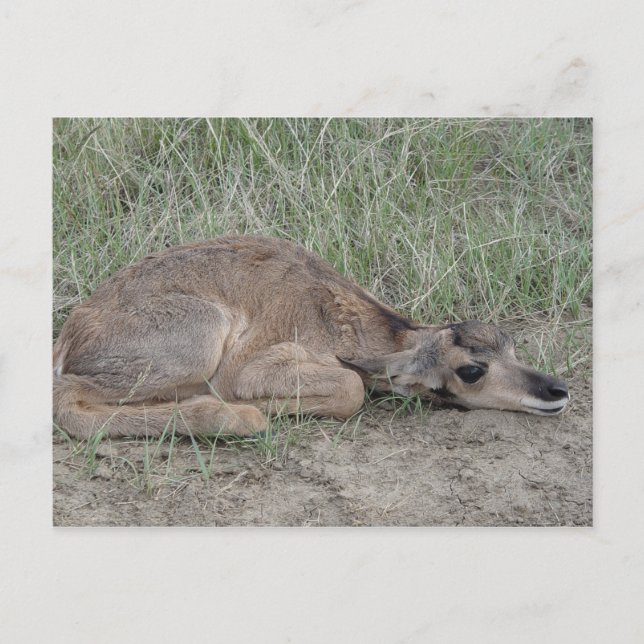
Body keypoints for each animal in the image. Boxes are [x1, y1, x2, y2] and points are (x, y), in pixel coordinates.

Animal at [53, 236, 570, 439]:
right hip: (199, 338)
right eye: (472, 370)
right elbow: (352, 386)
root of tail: (73, 331)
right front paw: (256, 408)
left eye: (511, 343)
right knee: (66, 399)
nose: (557, 390)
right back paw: (237, 417)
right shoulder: (250, 368)